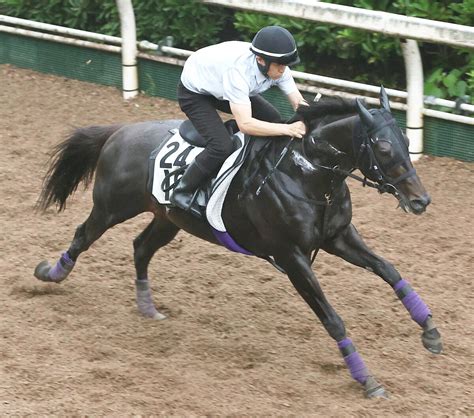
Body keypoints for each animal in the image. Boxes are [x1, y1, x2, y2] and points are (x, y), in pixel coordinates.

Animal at [34, 86, 444, 396]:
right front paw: (366, 378)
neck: (306, 174)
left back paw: (148, 307)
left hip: (168, 219)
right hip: (112, 207)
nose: (421, 200)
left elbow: (389, 270)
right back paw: (50, 274)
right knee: (83, 236)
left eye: (407, 140)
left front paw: (431, 332)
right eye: (384, 147)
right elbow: (334, 319)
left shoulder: (338, 237)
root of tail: (120, 132)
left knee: (141, 248)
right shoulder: (291, 256)